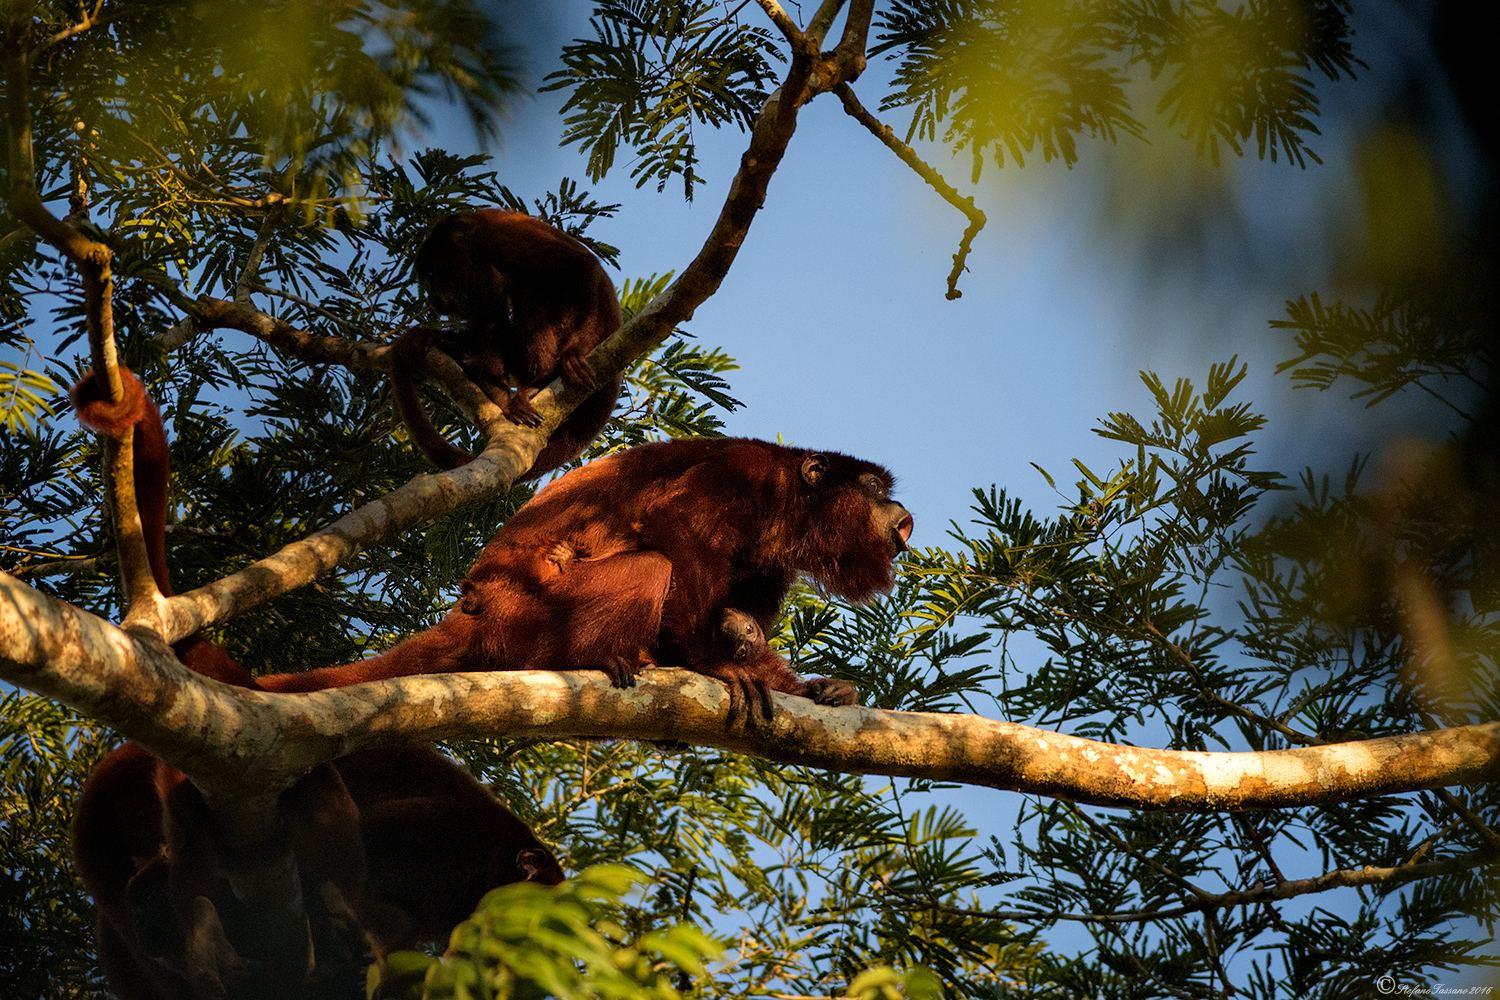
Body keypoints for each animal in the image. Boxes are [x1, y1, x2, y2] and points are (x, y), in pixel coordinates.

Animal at [257, 437, 913, 726]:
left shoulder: (776, 557)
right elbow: (674, 528)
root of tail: (471, 608)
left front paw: (820, 689)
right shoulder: (741, 474)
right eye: (872, 490)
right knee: (654, 564)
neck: (789, 505)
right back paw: (601, 659)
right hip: (525, 616)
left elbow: (743, 612)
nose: (903, 515)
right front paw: (715, 665)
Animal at [391, 209, 623, 480]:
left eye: (435, 273)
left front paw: (575, 353)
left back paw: (542, 380)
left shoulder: (504, 240)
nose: (433, 298)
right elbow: (488, 318)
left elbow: (581, 265)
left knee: (527, 291)